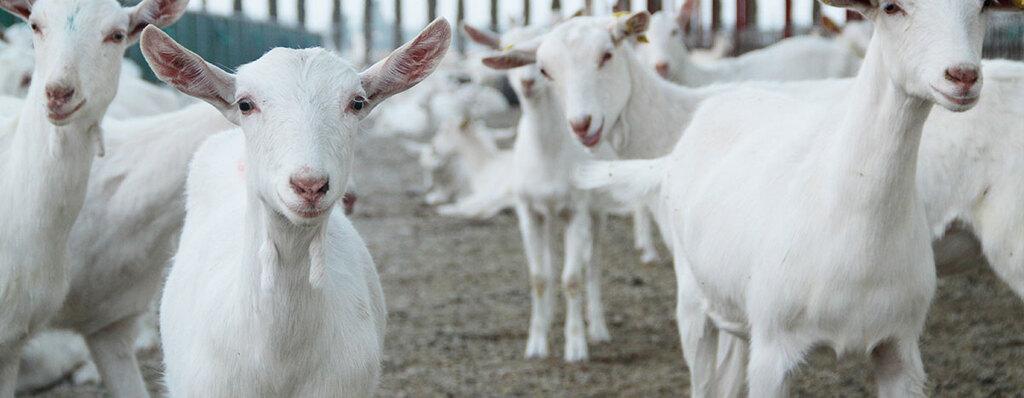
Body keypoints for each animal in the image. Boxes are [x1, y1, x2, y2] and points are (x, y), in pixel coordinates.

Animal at [581, 2, 1003, 392]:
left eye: (984, 6)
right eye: (891, 8)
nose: (963, 75)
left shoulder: (900, 349)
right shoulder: (772, 348)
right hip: (693, 301)